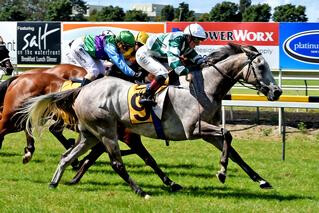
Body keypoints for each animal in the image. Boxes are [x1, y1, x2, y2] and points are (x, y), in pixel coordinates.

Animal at [21, 42, 282, 198]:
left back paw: (55, 182)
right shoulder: (195, 129)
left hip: (90, 135)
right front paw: (221, 173)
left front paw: (261, 180)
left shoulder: (209, 131)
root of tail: (83, 88)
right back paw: (141, 190)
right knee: (116, 163)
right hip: (106, 131)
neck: (203, 87)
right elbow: (227, 136)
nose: (277, 92)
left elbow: (234, 151)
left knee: (68, 155)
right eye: (260, 67)